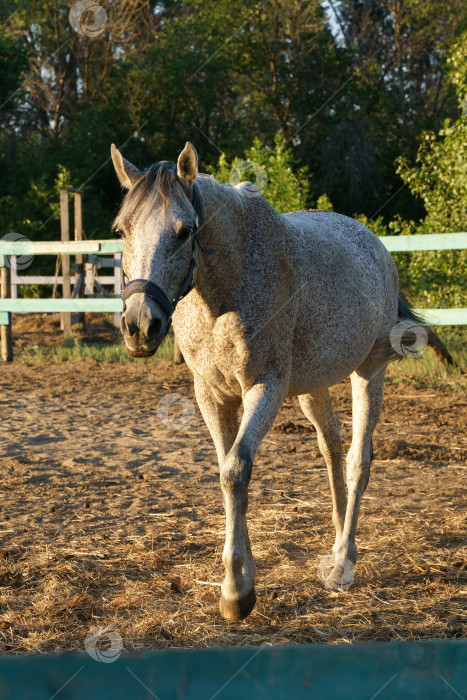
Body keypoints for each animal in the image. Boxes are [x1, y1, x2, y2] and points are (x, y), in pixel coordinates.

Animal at [112, 139, 420, 620]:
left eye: (184, 232)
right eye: (122, 230)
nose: (140, 326)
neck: (225, 286)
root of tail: (374, 245)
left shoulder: (266, 387)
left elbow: (237, 470)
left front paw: (236, 591)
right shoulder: (212, 394)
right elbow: (226, 471)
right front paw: (240, 577)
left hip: (369, 371)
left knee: (358, 459)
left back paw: (343, 562)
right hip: (313, 385)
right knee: (331, 449)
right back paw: (335, 537)